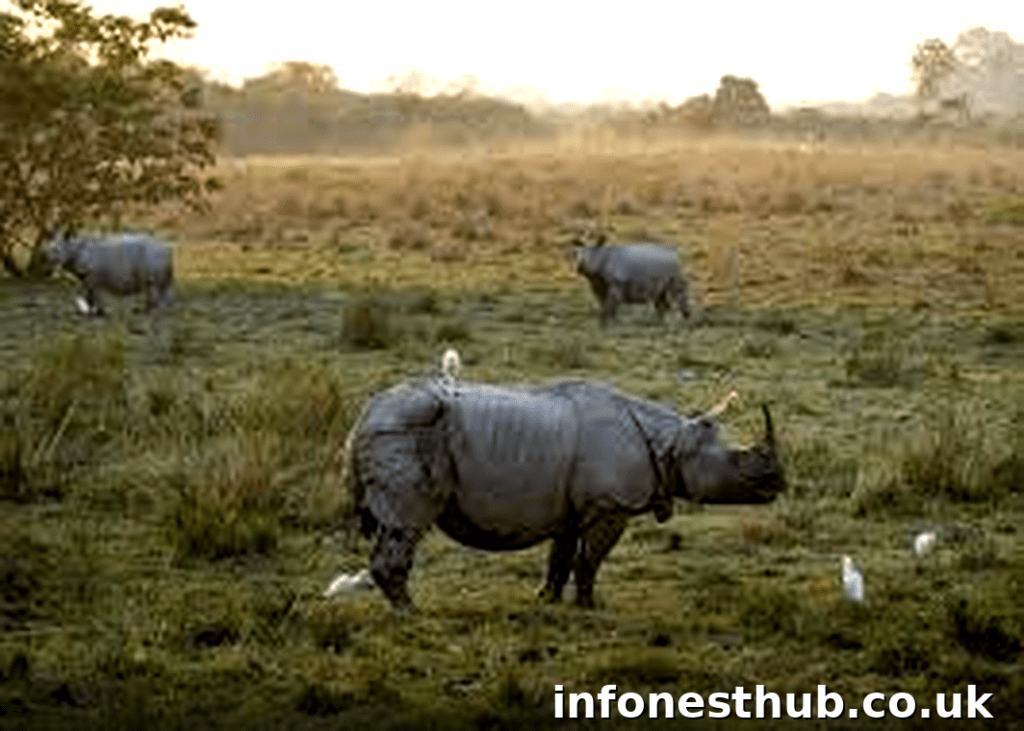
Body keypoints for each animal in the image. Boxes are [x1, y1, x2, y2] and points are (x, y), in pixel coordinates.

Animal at [39, 232, 174, 316]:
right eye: (48, 249)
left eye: (57, 250)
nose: (45, 259)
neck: (73, 248)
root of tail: (166, 249)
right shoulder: (86, 278)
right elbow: (89, 295)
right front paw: (93, 312)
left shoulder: (93, 277)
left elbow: (95, 296)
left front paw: (96, 313)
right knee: (151, 286)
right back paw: (146, 311)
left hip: (154, 257)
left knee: (158, 286)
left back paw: (157, 312)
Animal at [341, 379, 785, 611]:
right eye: (738, 462)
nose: (778, 483)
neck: (672, 442)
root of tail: (364, 415)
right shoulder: (611, 505)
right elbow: (590, 558)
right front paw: (589, 606)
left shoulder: (570, 507)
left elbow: (562, 555)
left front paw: (547, 600)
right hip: (405, 430)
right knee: (407, 523)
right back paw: (411, 612)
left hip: (393, 429)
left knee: (394, 523)